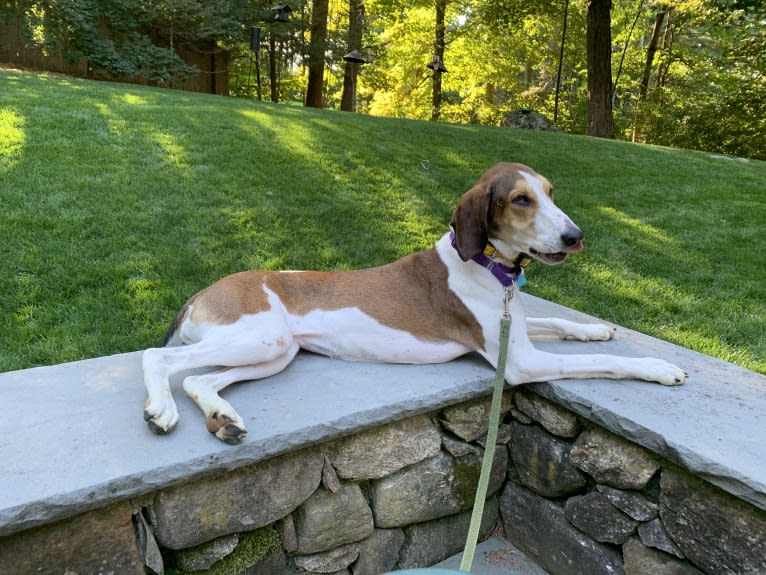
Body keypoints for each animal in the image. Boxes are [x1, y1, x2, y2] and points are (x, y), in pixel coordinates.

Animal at [144, 162, 688, 446]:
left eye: (551, 193)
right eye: (520, 199)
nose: (576, 237)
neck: (489, 267)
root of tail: (200, 291)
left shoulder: (516, 329)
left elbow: (559, 321)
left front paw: (597, 328)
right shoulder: (519, 360)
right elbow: (605, 361)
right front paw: (659, 368)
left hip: (277, 352)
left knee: (197, 379)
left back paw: (222, 418)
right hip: (260, 336)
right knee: (160, 357)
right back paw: (161, 410)